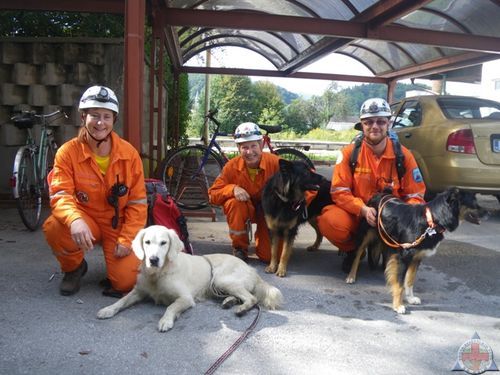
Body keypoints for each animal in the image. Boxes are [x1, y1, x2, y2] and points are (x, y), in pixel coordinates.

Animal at [346, 188, 482, 314]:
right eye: (474, 203)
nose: (486, 212)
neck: (432, 220)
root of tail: (380, 194)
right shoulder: (404, 256)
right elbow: (400, 284)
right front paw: (398, 305)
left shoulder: (416, 258)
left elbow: (410, 280)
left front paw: (410, 298)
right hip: (366, 232)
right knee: (357, 254)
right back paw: (351, 276)